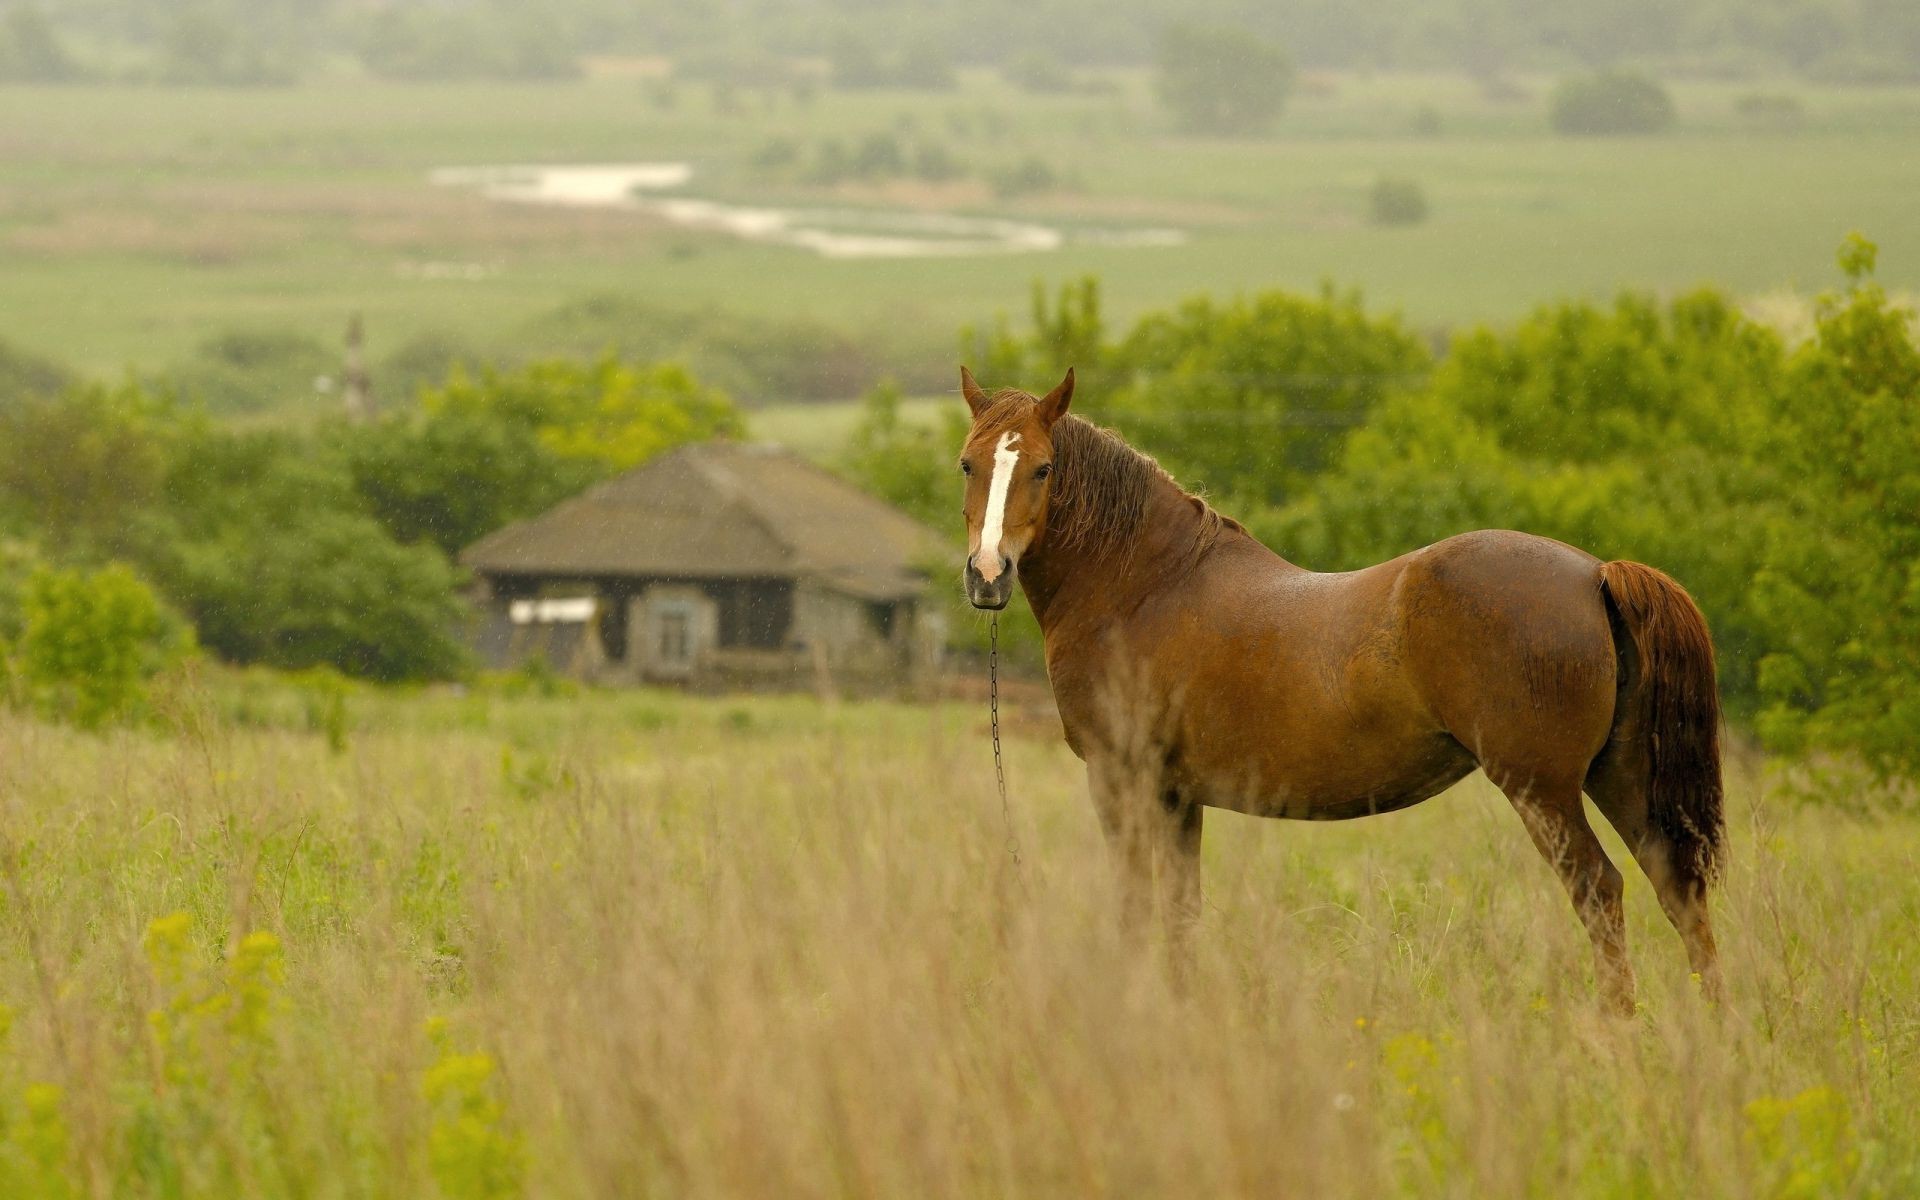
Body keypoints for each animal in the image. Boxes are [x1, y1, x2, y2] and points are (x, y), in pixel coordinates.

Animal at [960, 364, 1728, 1013]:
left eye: (1043, 467)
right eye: (969, 463)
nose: (988, 575)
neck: (1144, 584)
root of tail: (1595, 573)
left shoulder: (1123, 780)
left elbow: (1135, 907)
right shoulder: (1178, 797)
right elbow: (1180, 912)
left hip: (1545, 790)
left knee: (1600, 891)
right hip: (1619, 776)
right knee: (1677, 889)